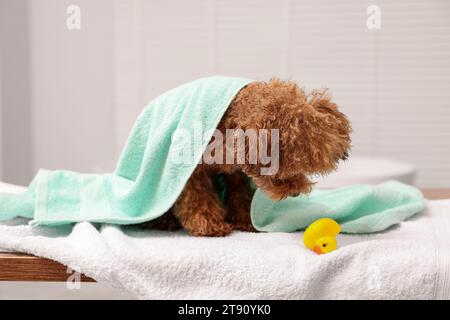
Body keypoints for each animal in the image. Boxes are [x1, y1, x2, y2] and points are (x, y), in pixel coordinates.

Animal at [144, 79, 352, 236]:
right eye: (285, 171)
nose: (295, 193)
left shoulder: (235, 174)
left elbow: (240, 195)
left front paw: (245, 221)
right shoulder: (193, 173)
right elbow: (198, 199)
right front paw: (210, 226)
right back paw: (164, 222)